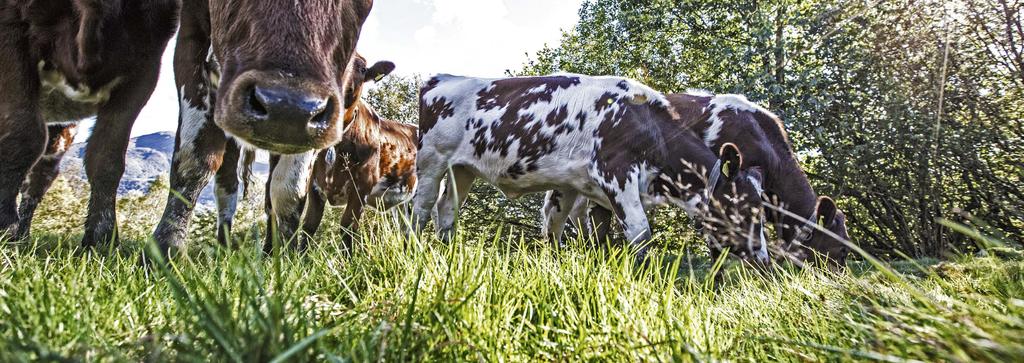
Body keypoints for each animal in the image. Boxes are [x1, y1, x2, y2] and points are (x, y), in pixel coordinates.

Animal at [0, 0, 178, 244]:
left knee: (41, 174)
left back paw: (23, 237)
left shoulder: (145, 64)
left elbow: (107, 155)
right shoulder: (12, 27)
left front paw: (102, 239)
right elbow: (24, 134)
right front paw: (5, 225)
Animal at [148, 0, 376, 255]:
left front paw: (287, 254)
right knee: (227, 186)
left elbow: (289, 190)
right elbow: (194, 161)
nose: (287, 106)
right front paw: (165, 249)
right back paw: (225, 248)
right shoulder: (192, 36)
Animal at [262, 53, 417, 252]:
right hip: (402, 203)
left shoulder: (361, 188)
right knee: (407, 230)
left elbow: (348, 226)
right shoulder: (315, 186)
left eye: (362, 69)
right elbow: (309, 226)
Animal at [413, 74, 770, 260]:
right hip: (431, 160)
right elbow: (640, 233)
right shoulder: (616, 175)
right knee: (421, 208)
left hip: (462, 170)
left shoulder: (569, 185)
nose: (762, 257)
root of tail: (442, 79)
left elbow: (555, 228)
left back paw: (446, 254)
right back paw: (411, 249)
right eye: (747, 208)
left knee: (447, 209)